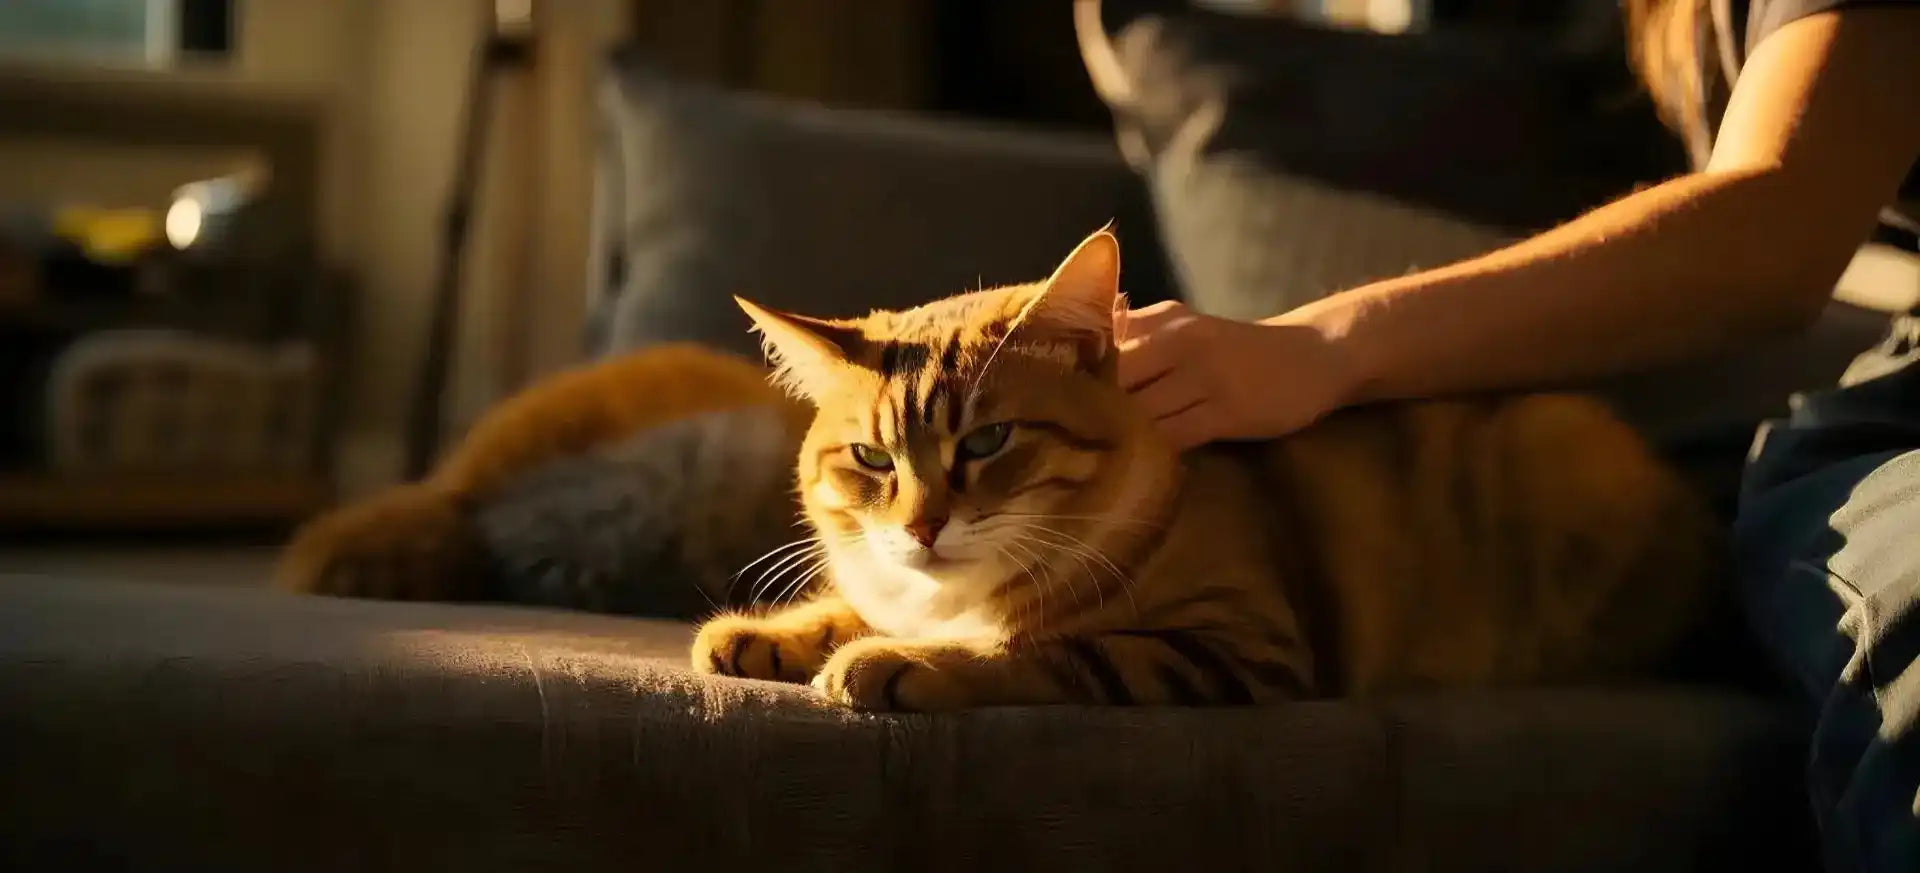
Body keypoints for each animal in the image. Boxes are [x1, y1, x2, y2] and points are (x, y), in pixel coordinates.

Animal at [695, 230, 1728, 709]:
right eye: (872, 458)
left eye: (986, 442)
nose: (921, 524)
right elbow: (849, 606)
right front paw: (760, 636)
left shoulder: (1233, 645)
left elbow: (1044, 652)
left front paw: (896, 662)